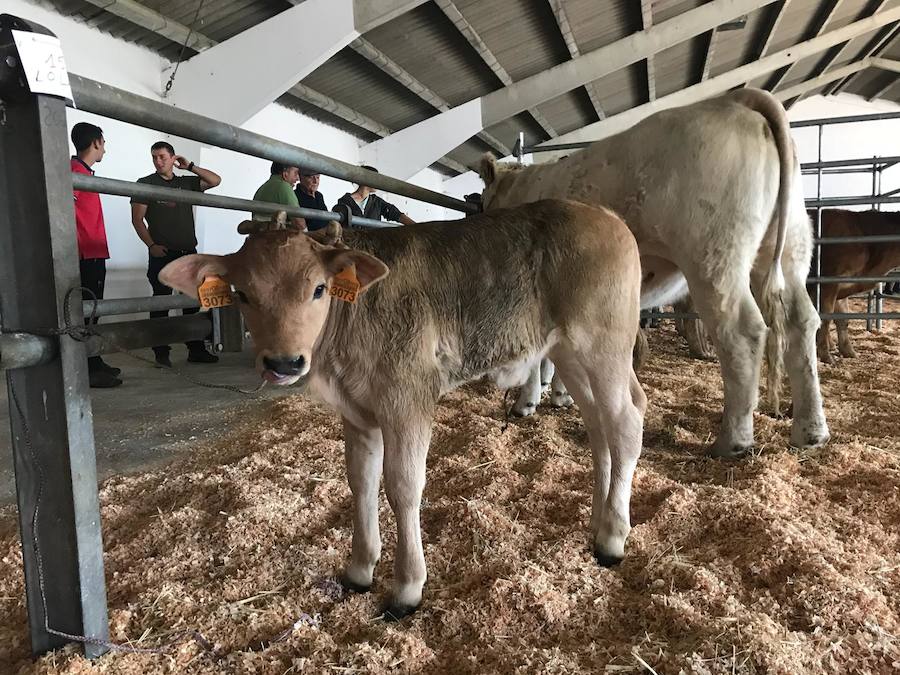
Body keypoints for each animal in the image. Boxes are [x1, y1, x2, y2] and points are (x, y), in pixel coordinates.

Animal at [158, 202, 644, 624]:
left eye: (318, 288)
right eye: (241, 293)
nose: (283, 363)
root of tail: (604, 214)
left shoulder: (407, 399)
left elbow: (403, 487)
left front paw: (407, 587)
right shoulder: (357, 413)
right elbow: (361, 481)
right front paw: (359, 569)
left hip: (602, 344)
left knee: (626, 421)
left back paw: (612, 538)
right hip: (569, 353)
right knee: (598, 426)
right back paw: (598, 521)